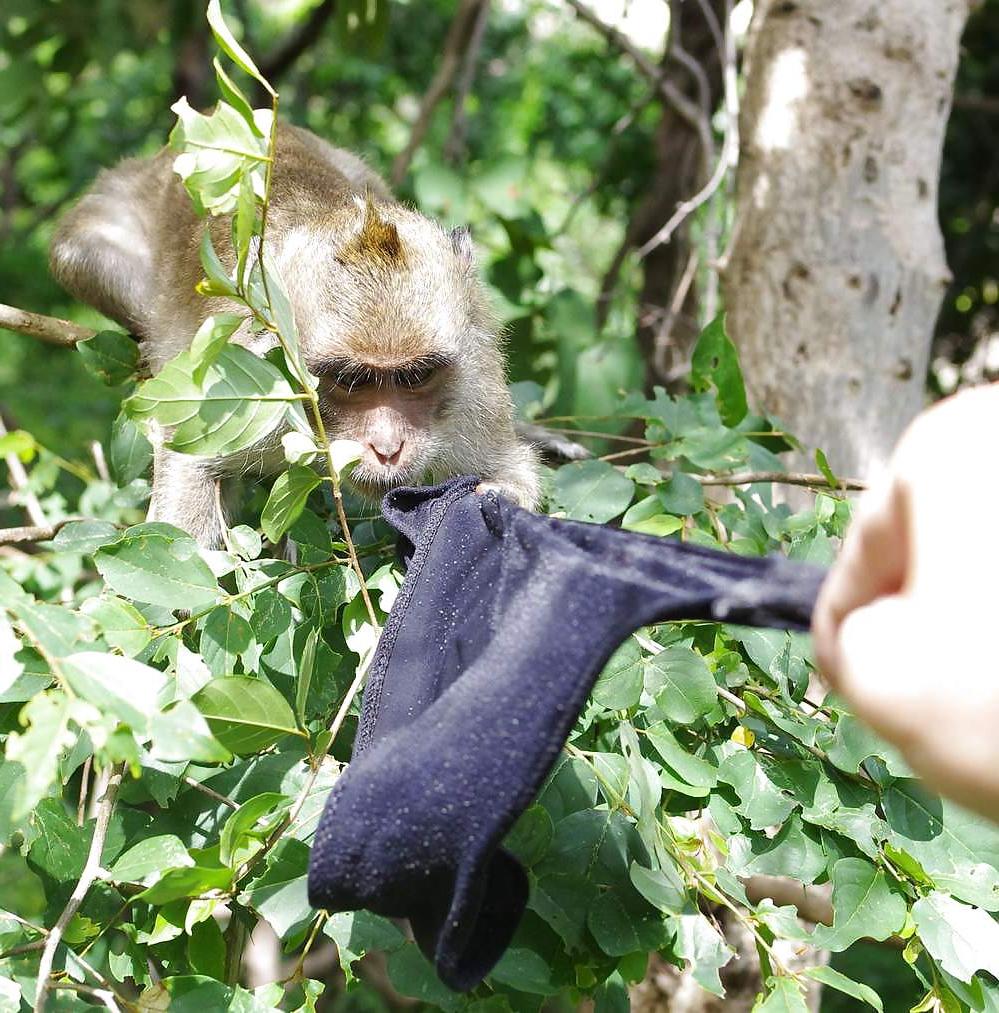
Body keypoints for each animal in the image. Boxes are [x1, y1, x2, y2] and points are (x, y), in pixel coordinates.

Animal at [50, 124, 541, 548]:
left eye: (415, 377)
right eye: (352, 380)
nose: (387, 448)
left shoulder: (475, 391)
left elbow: (511, 473)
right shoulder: (249, 381)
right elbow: (188, 462)